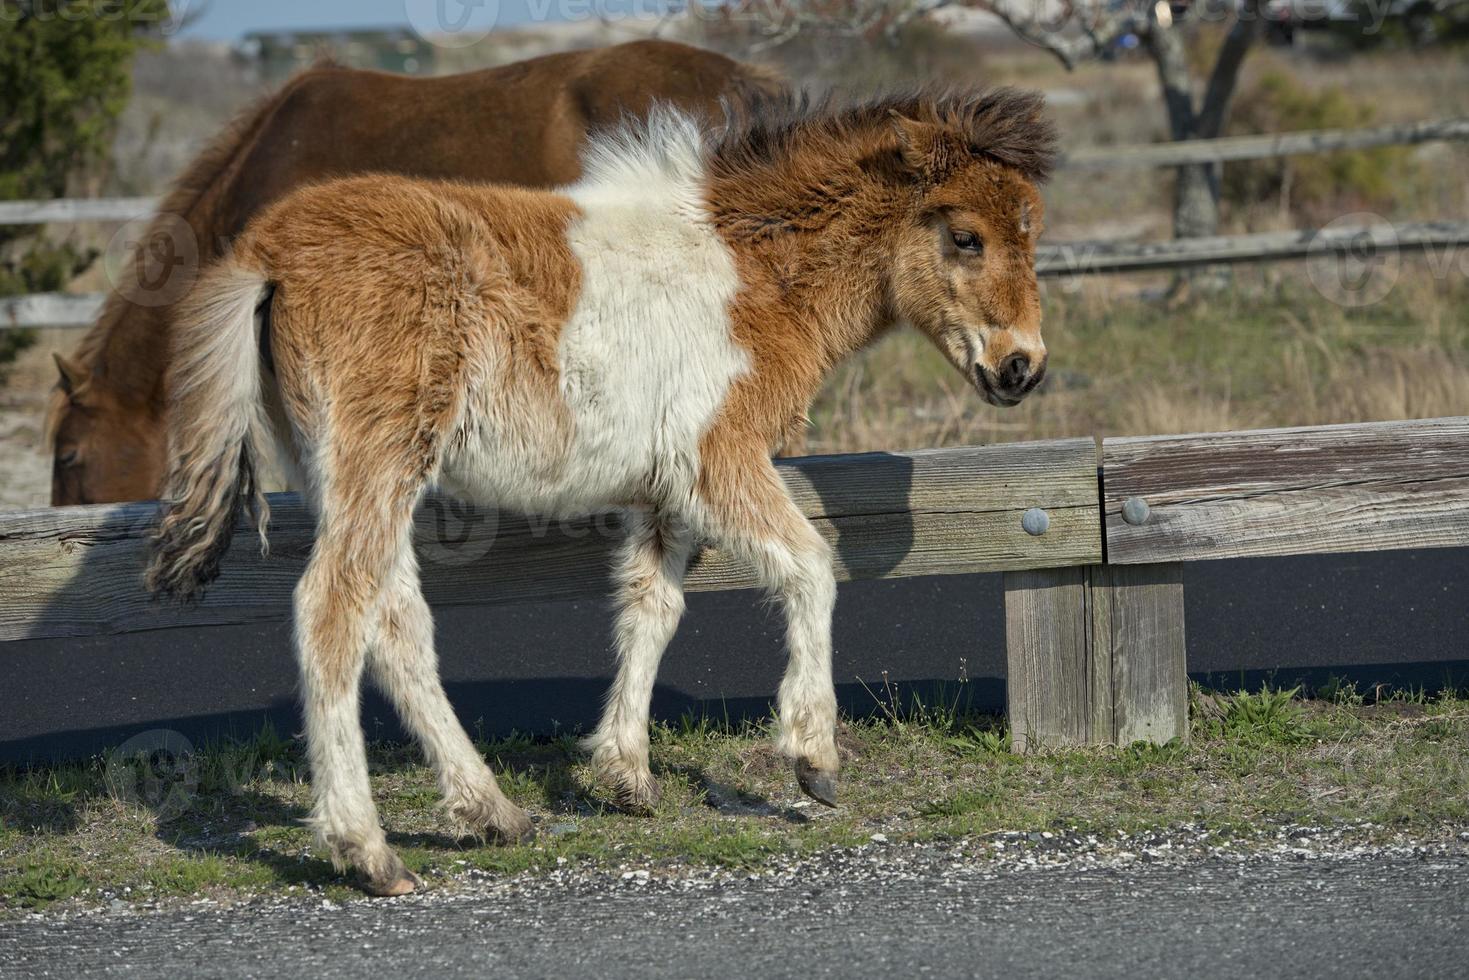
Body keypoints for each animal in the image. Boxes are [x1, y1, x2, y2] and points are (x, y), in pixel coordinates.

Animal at [149, 91, 1057, 899]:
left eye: (1032, 232)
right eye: (965, 237)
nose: (1022, 368)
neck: (752, 272)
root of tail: (265, 251)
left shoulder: (664, 495)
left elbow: (650, 608)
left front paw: (626, 774)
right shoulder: (716, 457)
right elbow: (809, 565)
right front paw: (811, 756)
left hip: (351, 472)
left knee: (397, 623)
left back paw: (491, 812)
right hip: (374, 459)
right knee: (333, 609)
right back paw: (367, 851)